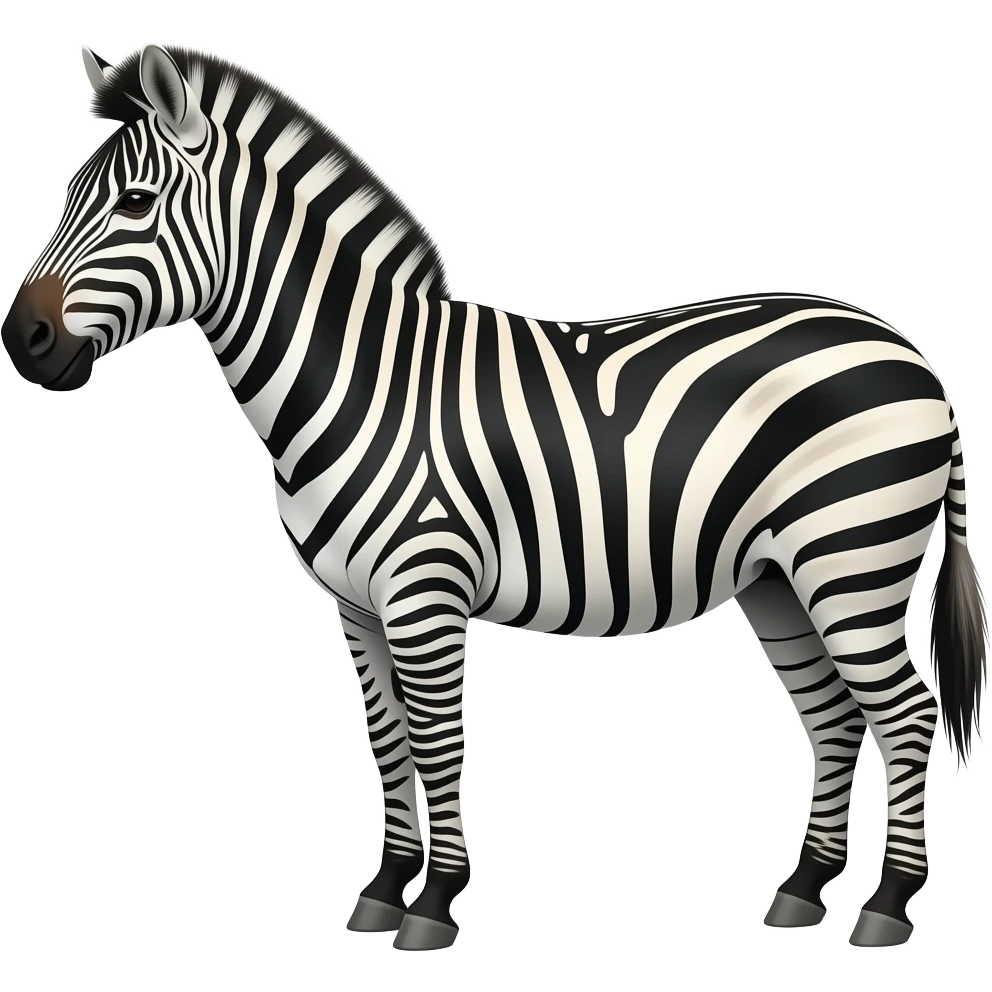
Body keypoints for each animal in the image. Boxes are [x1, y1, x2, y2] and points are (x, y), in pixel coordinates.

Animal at [1, 42, 987, 952]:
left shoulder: (424, 591)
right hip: (779, 579)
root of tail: (913, 355)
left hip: (852, 561)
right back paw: (801, 891)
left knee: (905, 715)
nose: (22, 341)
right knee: (832, 717)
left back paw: (887, 908)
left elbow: (438, 742)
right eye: (66, 194)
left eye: (134, 205)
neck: (360, 381)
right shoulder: (357, 607)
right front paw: (383, 890)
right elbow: (389, 743)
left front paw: (433, 905)